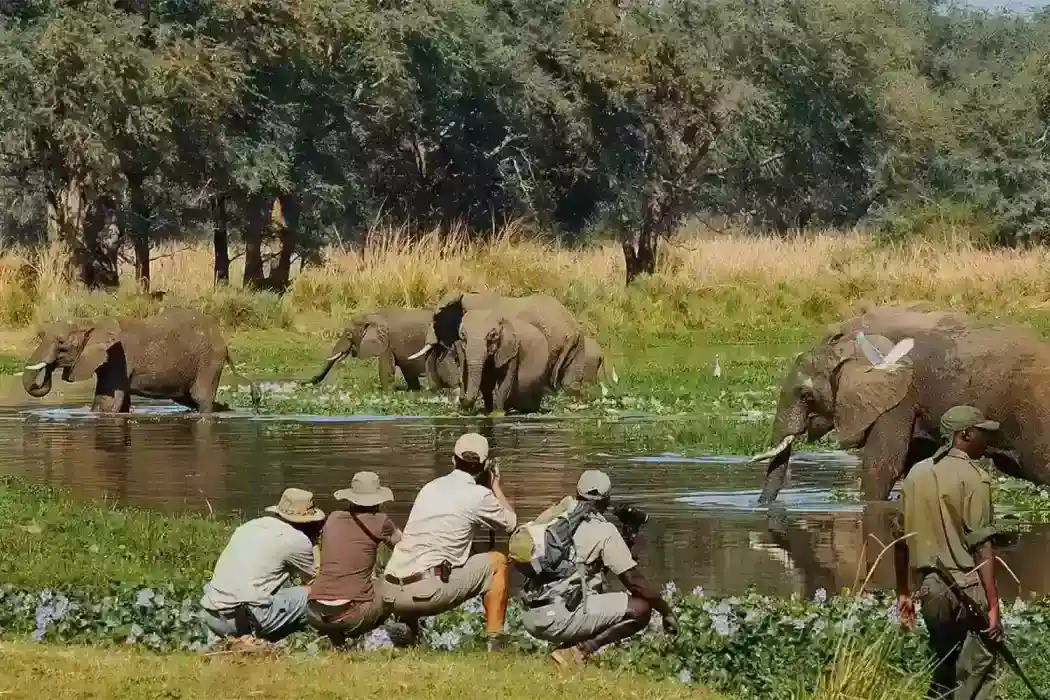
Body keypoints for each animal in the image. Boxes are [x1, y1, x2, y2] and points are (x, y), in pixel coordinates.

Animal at [22, 307, 261, 413]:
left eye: (61, 343)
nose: (49, 368)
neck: (93, 321)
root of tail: (224, 342)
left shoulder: (117, 359)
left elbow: (106, 404)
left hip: (209, 361)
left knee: (200, 399)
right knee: (190, 399)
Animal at [304, 308, 458, 390]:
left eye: (348, 335)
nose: (303, 382)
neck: (371, 317)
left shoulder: (386, 343)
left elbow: (386, 369)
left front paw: (387, 392)